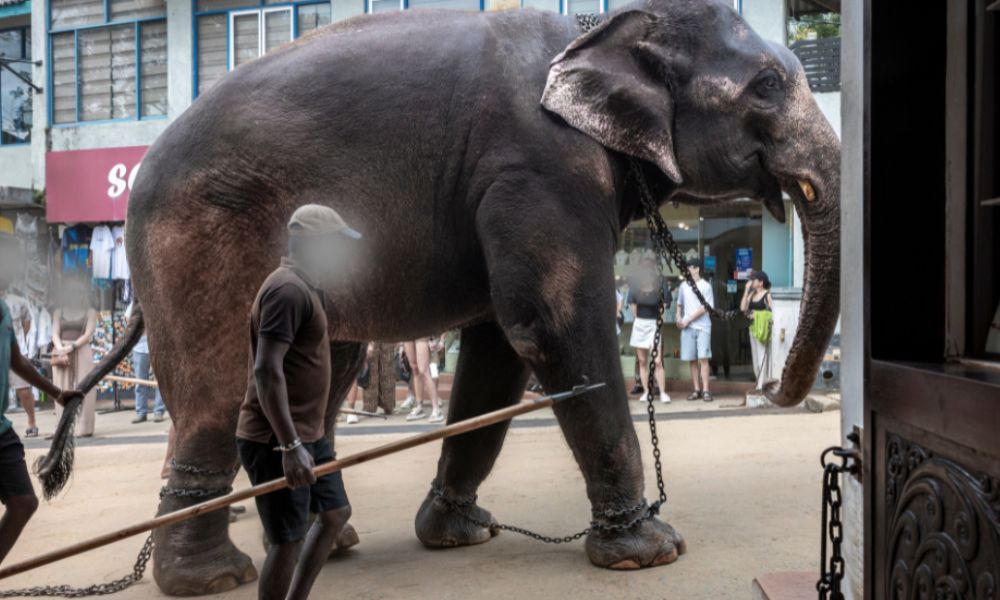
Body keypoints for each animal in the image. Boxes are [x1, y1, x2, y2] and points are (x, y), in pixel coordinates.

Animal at [110, 0, 840, 593]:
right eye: (767, 86)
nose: (774, 390)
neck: (597, 30)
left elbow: (499, 354)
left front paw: (460, 533)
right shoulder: (542, 169)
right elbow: (549, 325)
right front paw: (649, 551)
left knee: (322, 368)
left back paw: (330, 540)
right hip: (200, 235)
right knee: (220, 386)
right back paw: (211, 576)